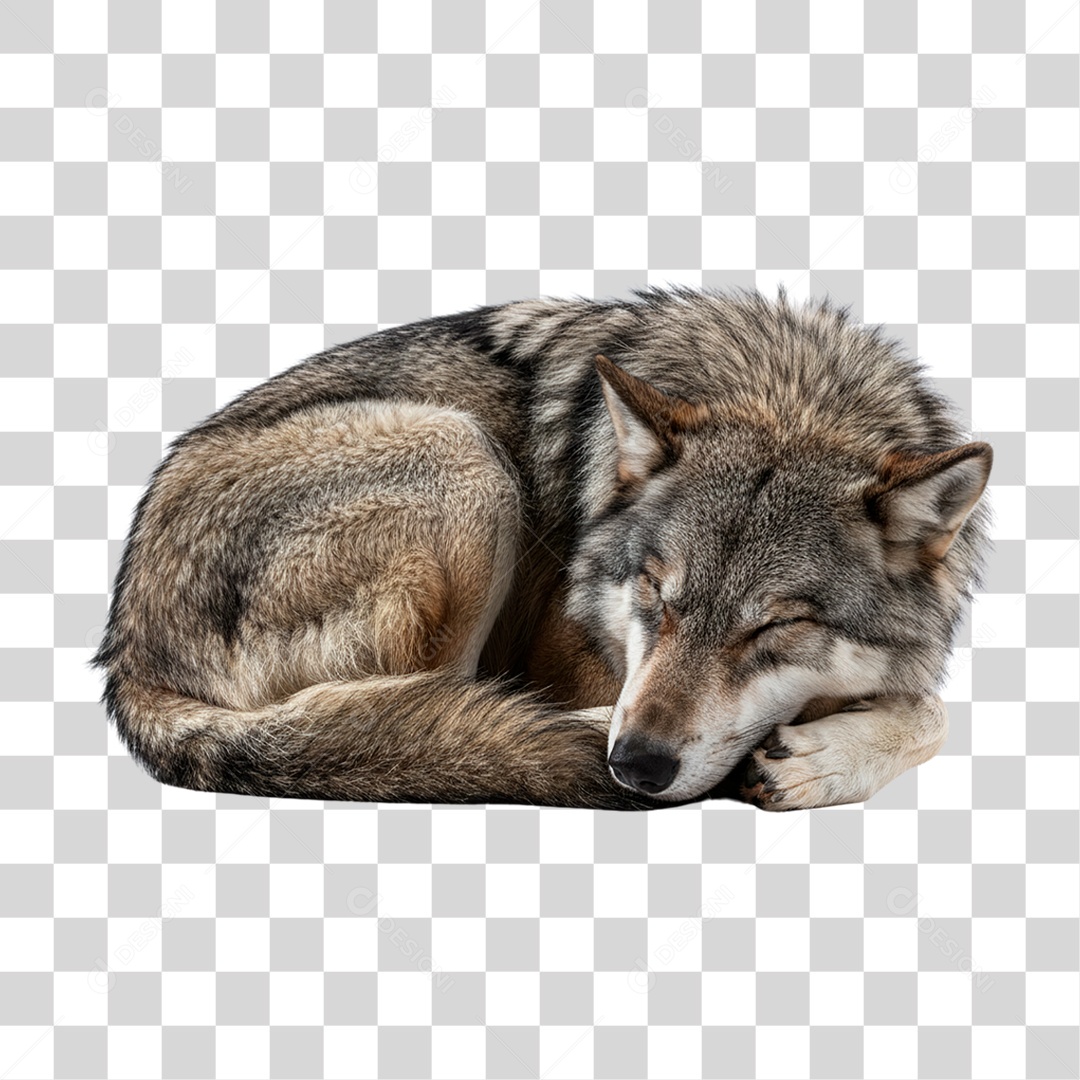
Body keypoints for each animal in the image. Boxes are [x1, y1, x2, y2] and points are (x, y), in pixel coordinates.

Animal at [93, 286, 993, 811]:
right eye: (653, 595)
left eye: (775, 627)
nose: (636, 765)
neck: (791, 389)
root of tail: (125, 647)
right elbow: (934, 710)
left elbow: (931, 708)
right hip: (464, 458)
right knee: (424, 708)